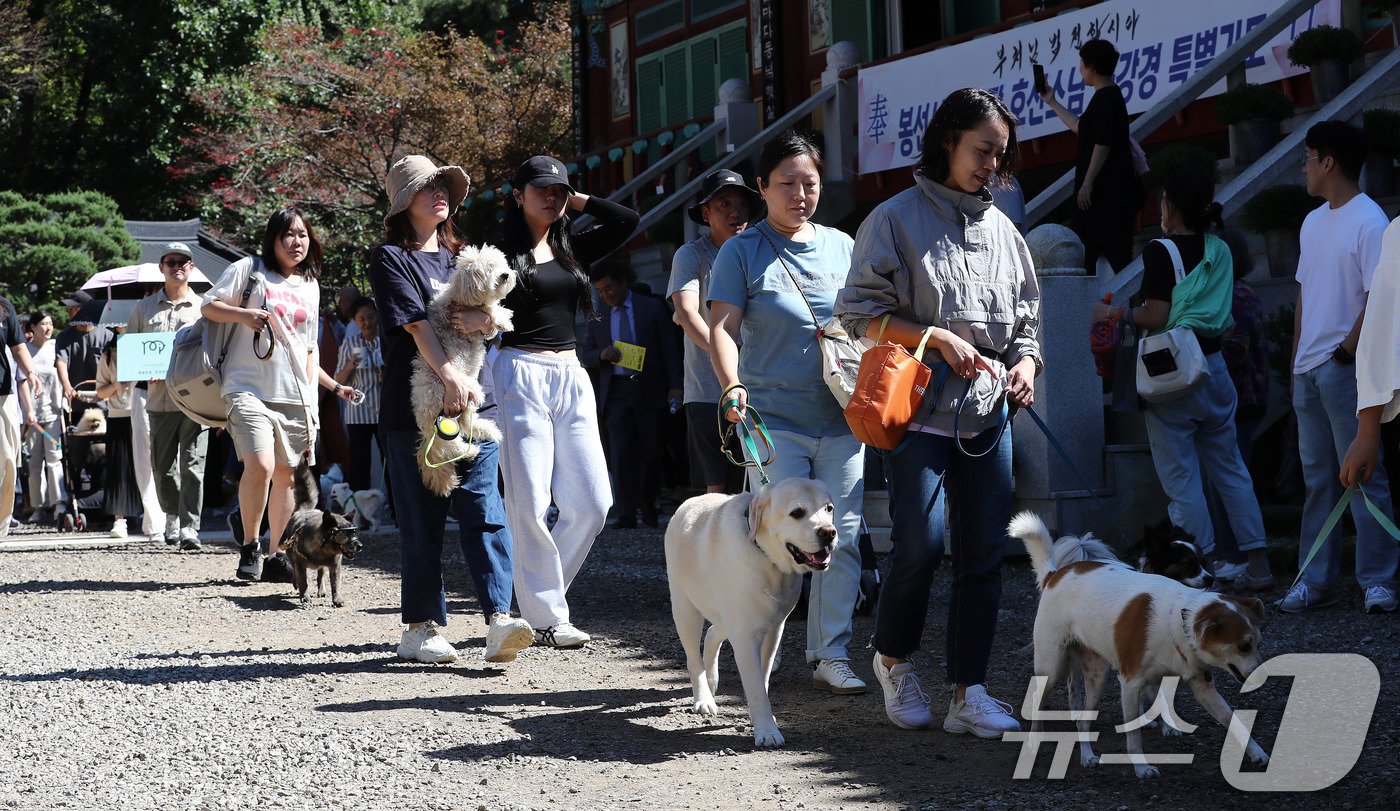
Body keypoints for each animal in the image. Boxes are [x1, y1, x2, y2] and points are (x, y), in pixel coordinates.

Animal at [278, 456, 364, 610]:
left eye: (354, 532)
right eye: (345, 534)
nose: (360, 546)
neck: (323, 548)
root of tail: (303, 509)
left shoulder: (335, 567)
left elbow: (335, 585)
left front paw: (337, 599)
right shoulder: (300, 565)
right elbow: (303, 582)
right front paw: (305, 596)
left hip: (323, 568)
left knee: (320, 575)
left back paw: (321, 590)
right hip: (291, 557)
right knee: (295, 572)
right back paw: (296, 583)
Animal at [411, 242, 518, 495]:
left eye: (499, 264)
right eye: (487, 270)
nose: (505, 275)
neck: (462, 296)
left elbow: (488, 315)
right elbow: (490, 311)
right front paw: (504, 319)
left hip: (466, 401)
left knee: (467, 424)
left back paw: (487, 430)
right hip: (463, 394)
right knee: (449, 445)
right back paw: (468, 451)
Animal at [666, 476, 840, 750]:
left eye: (829, 508)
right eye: (797, 513)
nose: (828, 532)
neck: (767, 559)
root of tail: (689, 501)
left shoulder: (773, 629)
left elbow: (764, 676)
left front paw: (762, 719)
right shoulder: (745, 635)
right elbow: (756, 686)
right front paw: (767, 731)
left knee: (713, 634)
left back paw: (712, 680)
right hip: (685, 610)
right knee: (694, 658)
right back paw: (703, 698)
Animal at [1008, 515, 1271, 778]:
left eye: (1259, 643)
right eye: (1243, 646)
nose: (1264, 677)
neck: (1179, 620)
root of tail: (1055, 574)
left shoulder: (1202, 687)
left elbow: (1234, 721)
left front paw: (1257, 753)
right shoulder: (1131, 684)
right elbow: (1134, 734)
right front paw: (1142, 766)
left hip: (1096, 676)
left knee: (1083, 719)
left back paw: (1087, 756)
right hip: (1051, 667)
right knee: (1038, 698)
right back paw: (1035, 741)